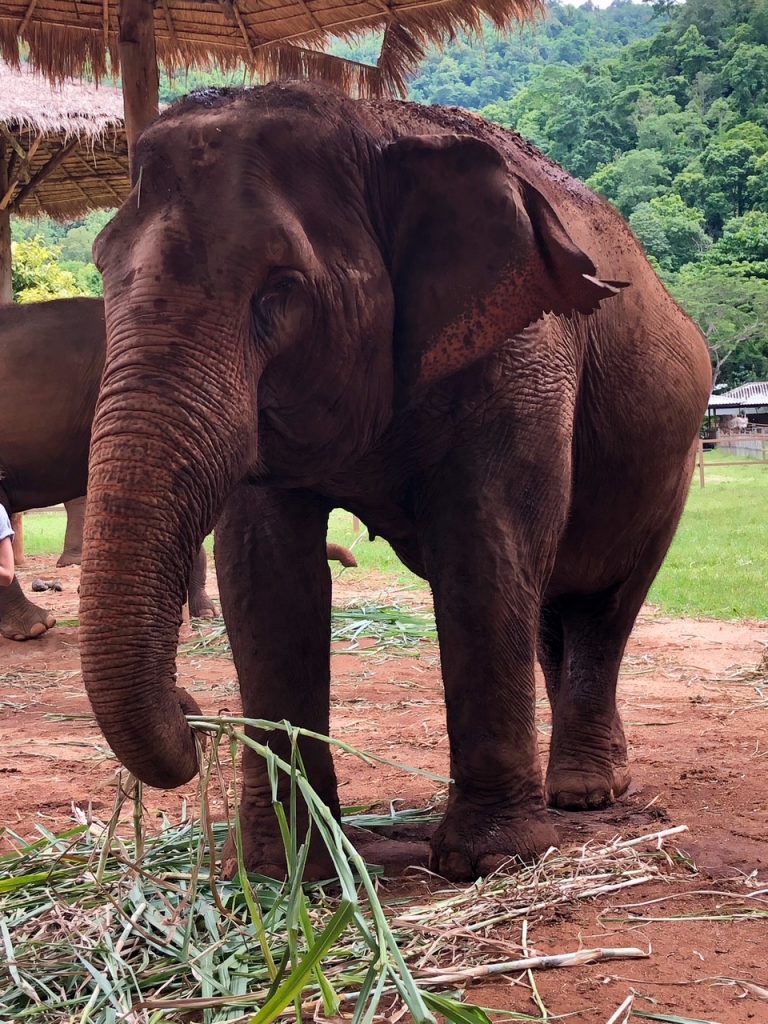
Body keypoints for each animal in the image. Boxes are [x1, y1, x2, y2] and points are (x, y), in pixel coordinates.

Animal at [79, 83, 712, 883]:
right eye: (102, 268)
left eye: (281, 288)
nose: (193, 711)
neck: (370, 124)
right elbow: (265, 570)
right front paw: (284, 869)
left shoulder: (525, 350)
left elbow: (486, 546)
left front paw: (488, 860)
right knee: (551, 611)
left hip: (673, 464)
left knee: (604, 604)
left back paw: (582, 793)